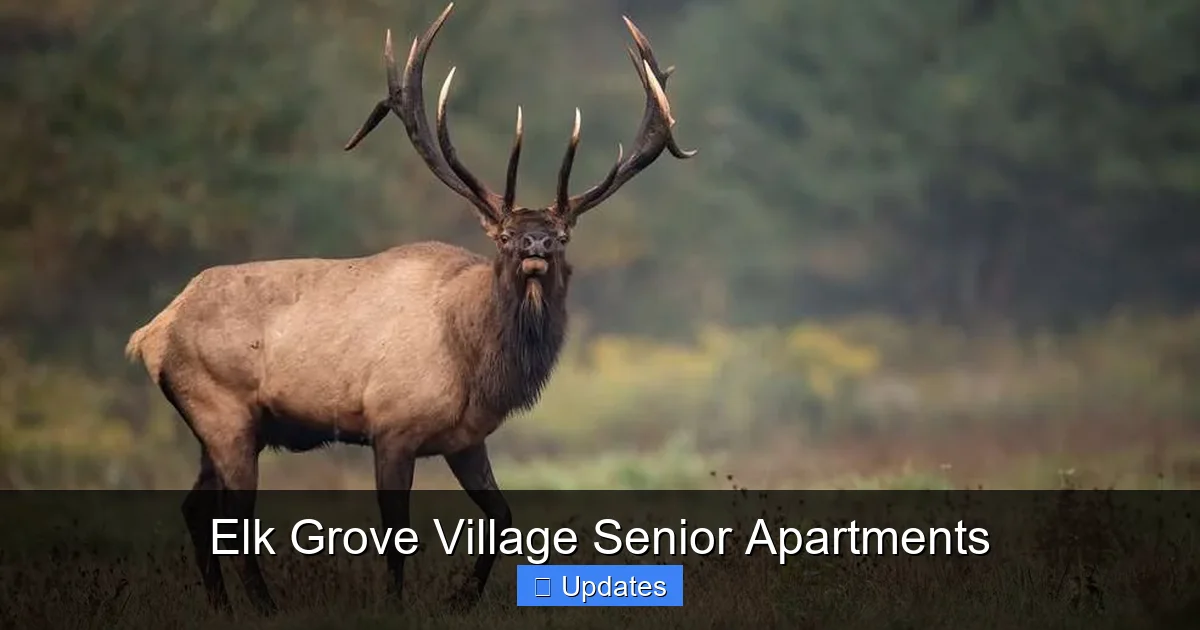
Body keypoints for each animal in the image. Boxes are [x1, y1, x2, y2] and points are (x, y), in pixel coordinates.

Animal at [123, 2, 694, 615]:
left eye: (562, 236)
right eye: (504, 236)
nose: (536, 243)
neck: (475, 361)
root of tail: (152, 333)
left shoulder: (467, 439)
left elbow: (503, 517)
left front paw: (461, 599)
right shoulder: (392, 426)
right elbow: (396, 535)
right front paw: (398, 605)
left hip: (222, 426)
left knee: (194, 509)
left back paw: (225, 607)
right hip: (223, 410)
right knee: (230, 518)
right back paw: (265, 608)